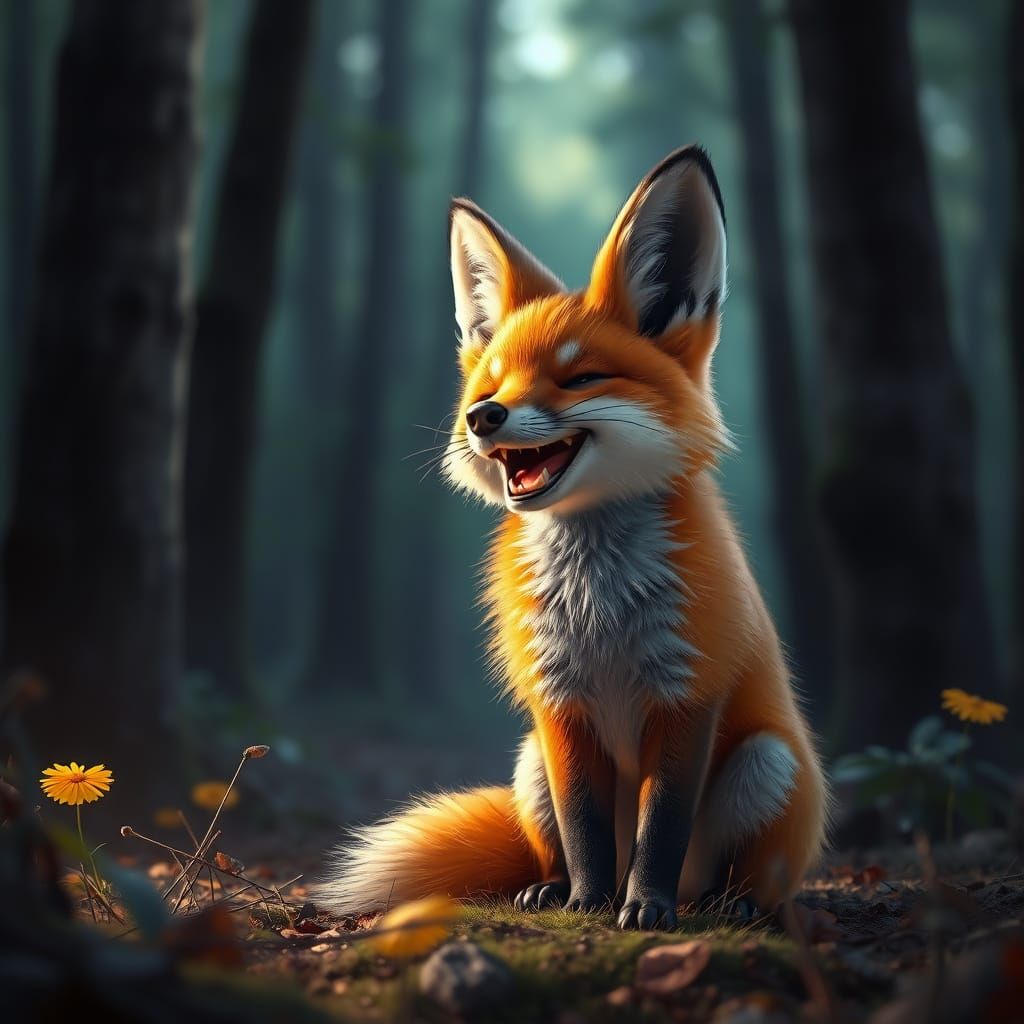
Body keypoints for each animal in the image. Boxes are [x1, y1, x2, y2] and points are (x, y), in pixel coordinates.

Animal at [321, 145, 828, 930]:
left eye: (580, 378)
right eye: (490, 386)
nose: (485, 418)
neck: (599, 606)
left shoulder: (686, 692)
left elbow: (662, 824)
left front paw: (644, 908)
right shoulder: (559, 700)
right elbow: (584, 823)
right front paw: (589, 903)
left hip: (765, 761)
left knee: (736, 874)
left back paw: (726, 902)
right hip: (528, 761)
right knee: (557, 843)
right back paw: (554, 889)